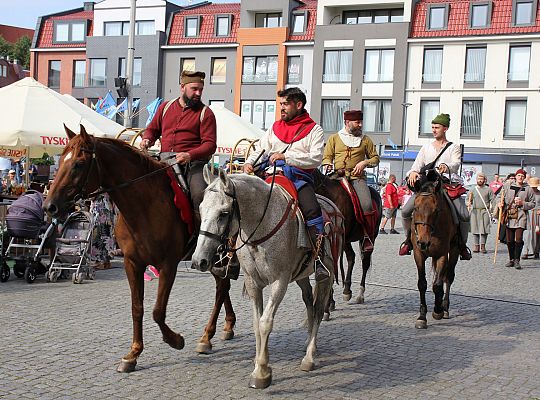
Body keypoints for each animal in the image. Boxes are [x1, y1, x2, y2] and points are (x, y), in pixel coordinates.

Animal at [42, 125, 236, 372]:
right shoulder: (132, 264)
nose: (50, 206)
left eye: (78, 163)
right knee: (223, 286)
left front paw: (175, 340)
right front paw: (133, 354)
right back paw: (225, 327)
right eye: (60, 161)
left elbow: (157, 311)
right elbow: (137, 307)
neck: (145, 206)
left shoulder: (168, 265)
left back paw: (207, 336)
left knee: (222, 287)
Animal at [192, 167, 344, 390]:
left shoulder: (279, 282)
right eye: (201, 210)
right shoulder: (253, 283)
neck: (263, 227)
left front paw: (261, 372)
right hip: (301, 276)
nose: (198, 260)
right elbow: (257, 324)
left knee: (317, 310)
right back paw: (308, 344)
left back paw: (309, 357)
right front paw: (259, 362)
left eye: (224, 213)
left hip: (327, 275)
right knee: (309, 302)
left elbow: (265, 322)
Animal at [310, 169, 382, 304]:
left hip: (370, 236)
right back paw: (347, 290)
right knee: (351, 257)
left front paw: (329, 302)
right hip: (347, 241)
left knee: (365, 262)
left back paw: (360, 294)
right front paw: (330, 301)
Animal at [412, 175, 458, 328]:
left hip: (454, 250)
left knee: (448, 277)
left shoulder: (441, 255)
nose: (423, 242)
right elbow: (422, 284)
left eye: (436, 210)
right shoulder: (418, 254)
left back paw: (445, 308)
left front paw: (438, 310)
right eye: (415, 208)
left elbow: (437, 285)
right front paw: (422, 317)